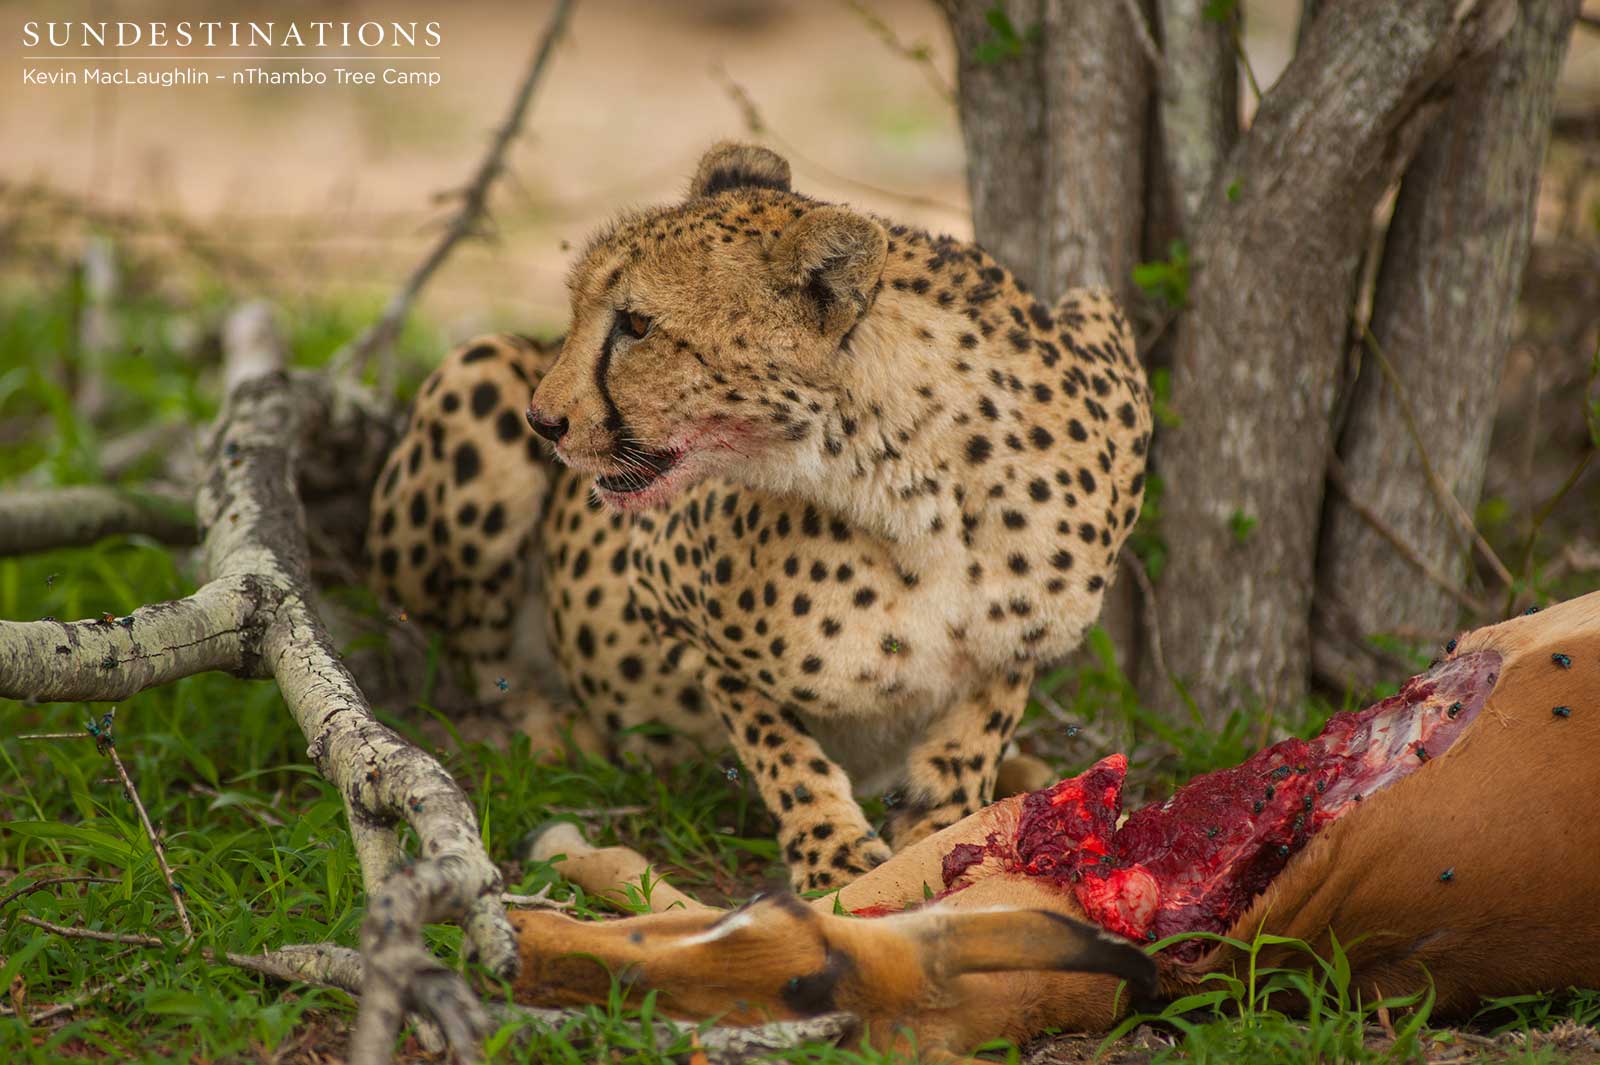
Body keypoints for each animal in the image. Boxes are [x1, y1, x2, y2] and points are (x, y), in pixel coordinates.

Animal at [367, 142, 1152, 892]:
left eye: (637, 325)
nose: (544, 420)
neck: (919, 485)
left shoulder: (1028, 633)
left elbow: (981, 717)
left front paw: (945, 823)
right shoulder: (671, 606)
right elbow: (778, 744)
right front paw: (834, 855)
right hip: (479, 370)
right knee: (479, 661)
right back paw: (544, 726)